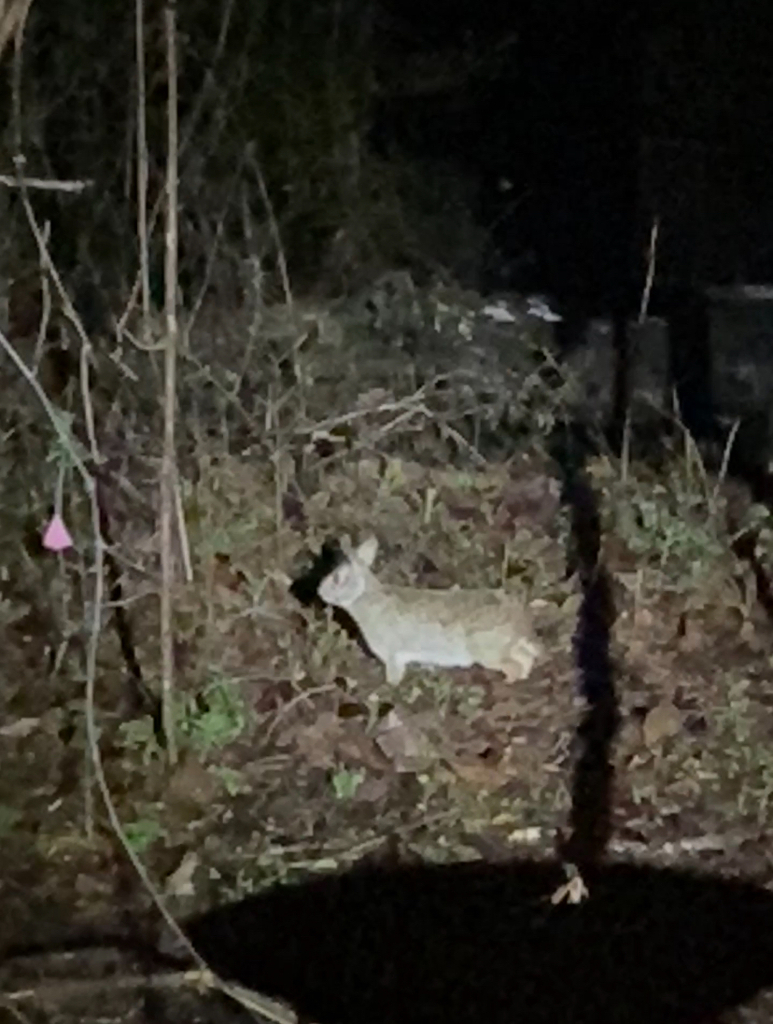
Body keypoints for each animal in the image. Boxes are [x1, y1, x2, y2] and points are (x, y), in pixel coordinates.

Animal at [315, 536, 544, 679]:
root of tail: (520, 621)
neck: (363, 595)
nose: (320, 592)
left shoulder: (393, 656)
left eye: (337, 578)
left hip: (488, 652)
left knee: (514, 667)